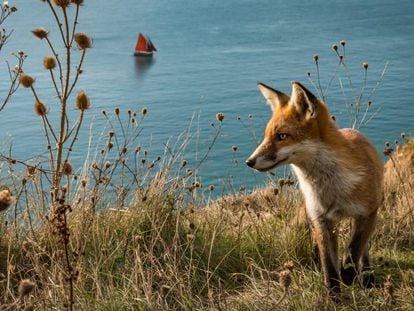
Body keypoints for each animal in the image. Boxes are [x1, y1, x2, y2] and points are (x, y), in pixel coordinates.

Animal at [244, 81, 384, 294]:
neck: (332, 190)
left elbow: (354, 249)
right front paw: (333, 294)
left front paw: (349, 276)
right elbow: (329, 265)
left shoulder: (368, 213)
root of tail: (352, 131)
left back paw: (367, 277)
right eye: (267, 136)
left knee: (364, 250)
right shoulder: (321, 219)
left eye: (282, 136)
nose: (249, 162)